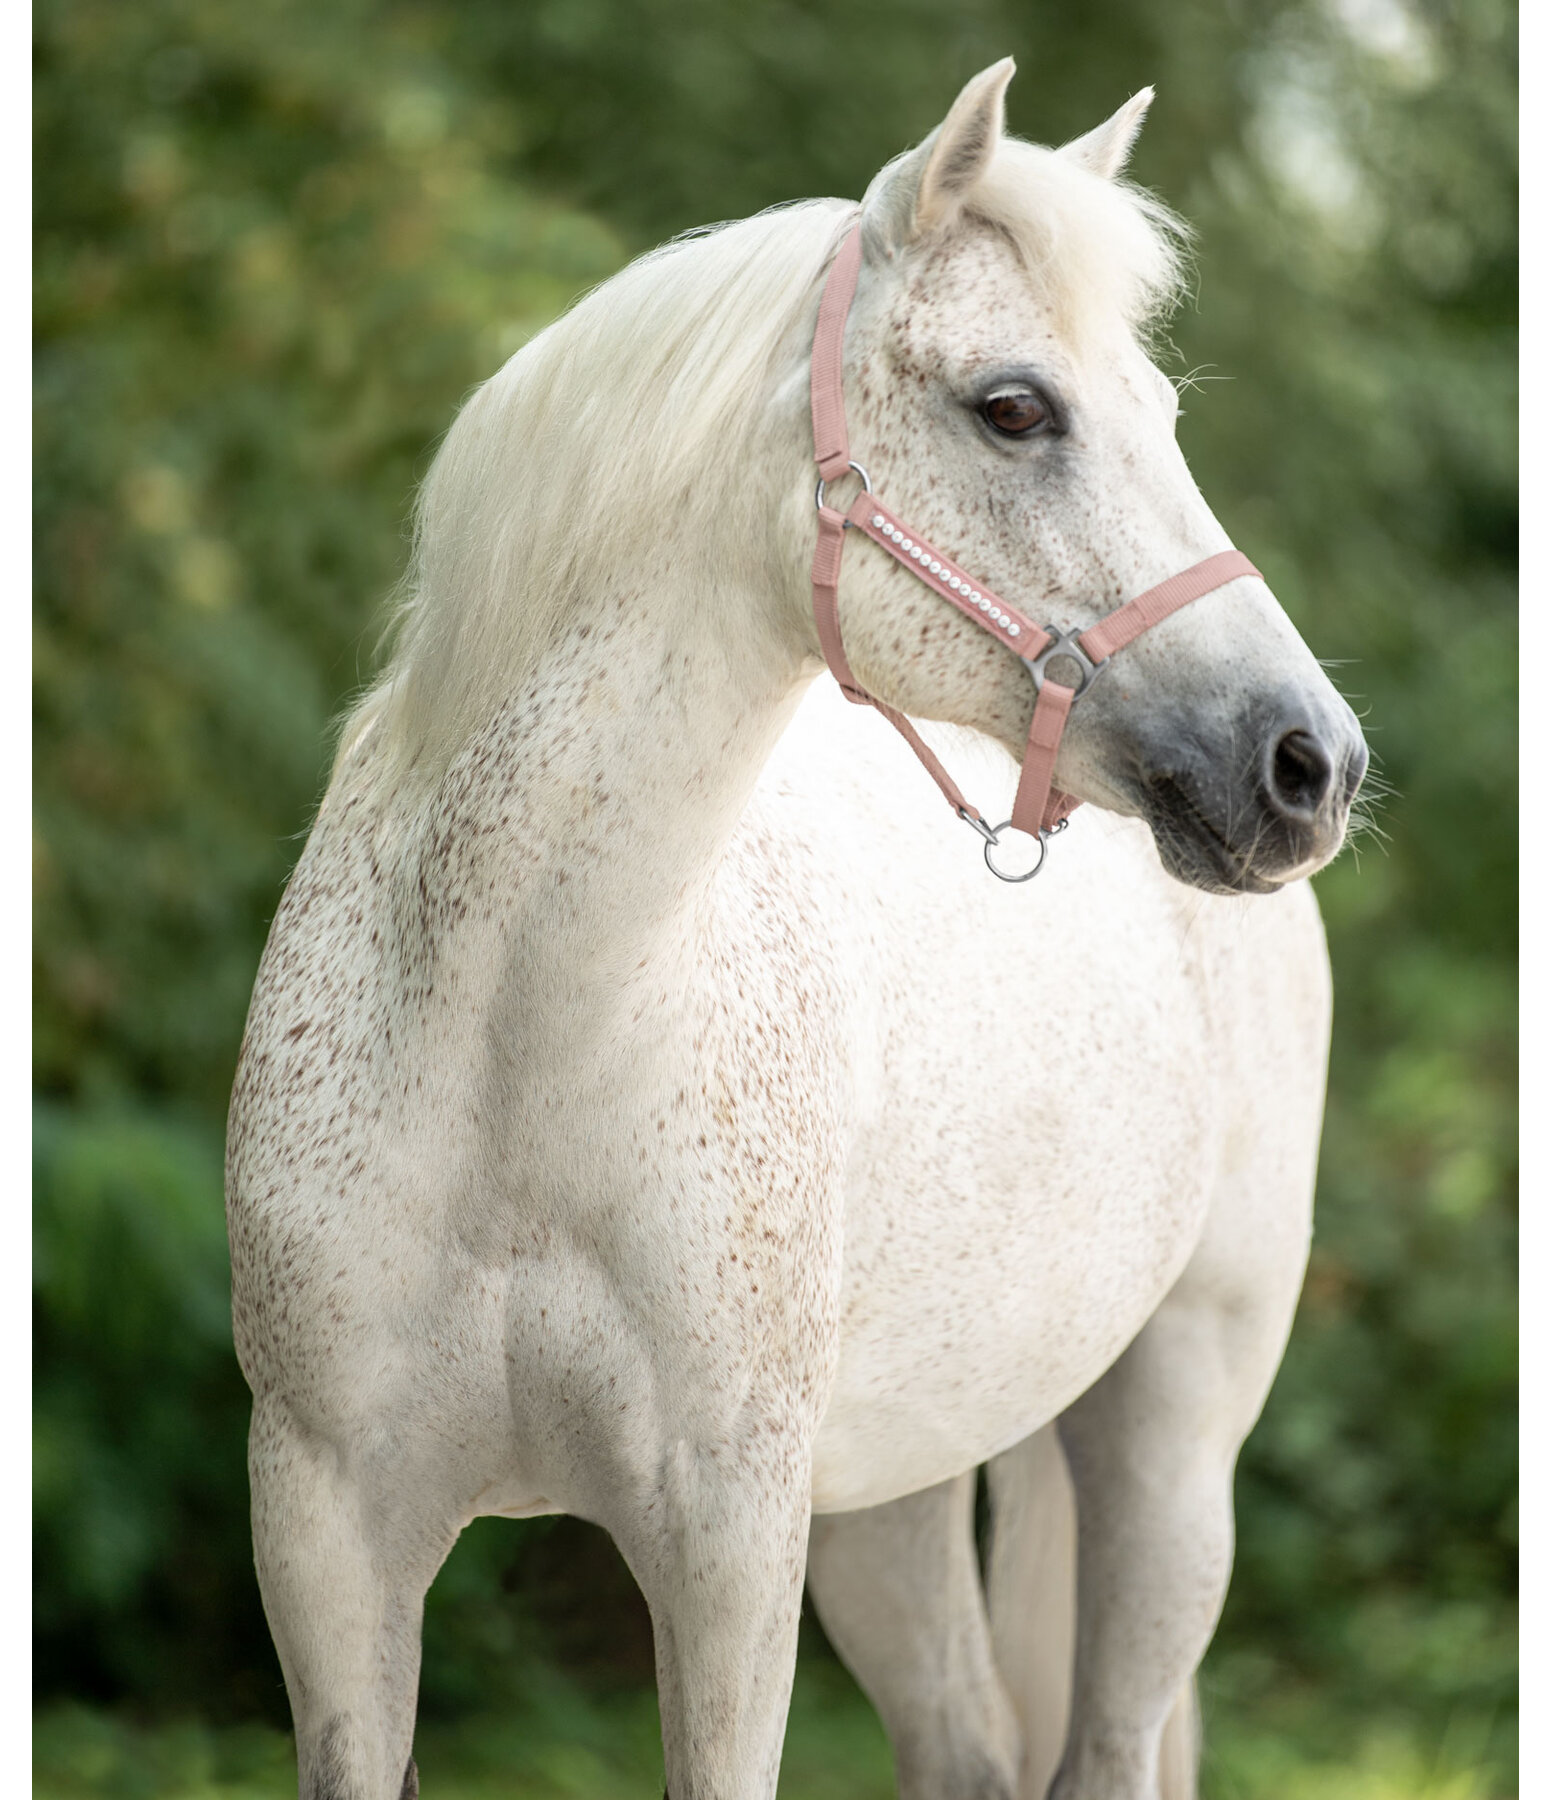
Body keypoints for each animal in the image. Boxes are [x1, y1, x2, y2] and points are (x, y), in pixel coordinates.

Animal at [226, 63, 1368, 1800]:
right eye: (1013, 407)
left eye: (1164, 419)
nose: (1309, 765)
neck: (515, 1044)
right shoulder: (329, 1547)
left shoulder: (726, 1548)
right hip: (894, 1489)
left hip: (1169, 1443)